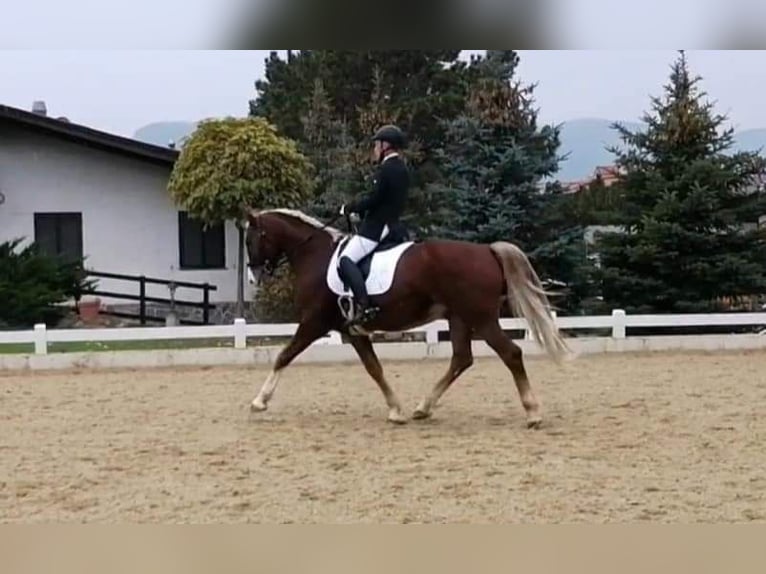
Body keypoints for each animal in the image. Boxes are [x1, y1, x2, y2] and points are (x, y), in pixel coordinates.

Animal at [246, 209, 568, 430]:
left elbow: (284, 356)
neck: (316, 255)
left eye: (251, 239)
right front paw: (396, 410)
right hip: (460, 318)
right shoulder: (352, 330)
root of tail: (486, 249)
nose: (253, 276)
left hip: (481, 318)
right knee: (461, 359)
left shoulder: (315, 322)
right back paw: (422, 408)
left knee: (510, 353)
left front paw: (259, 401)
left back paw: (533, 413)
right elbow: (374, 368)